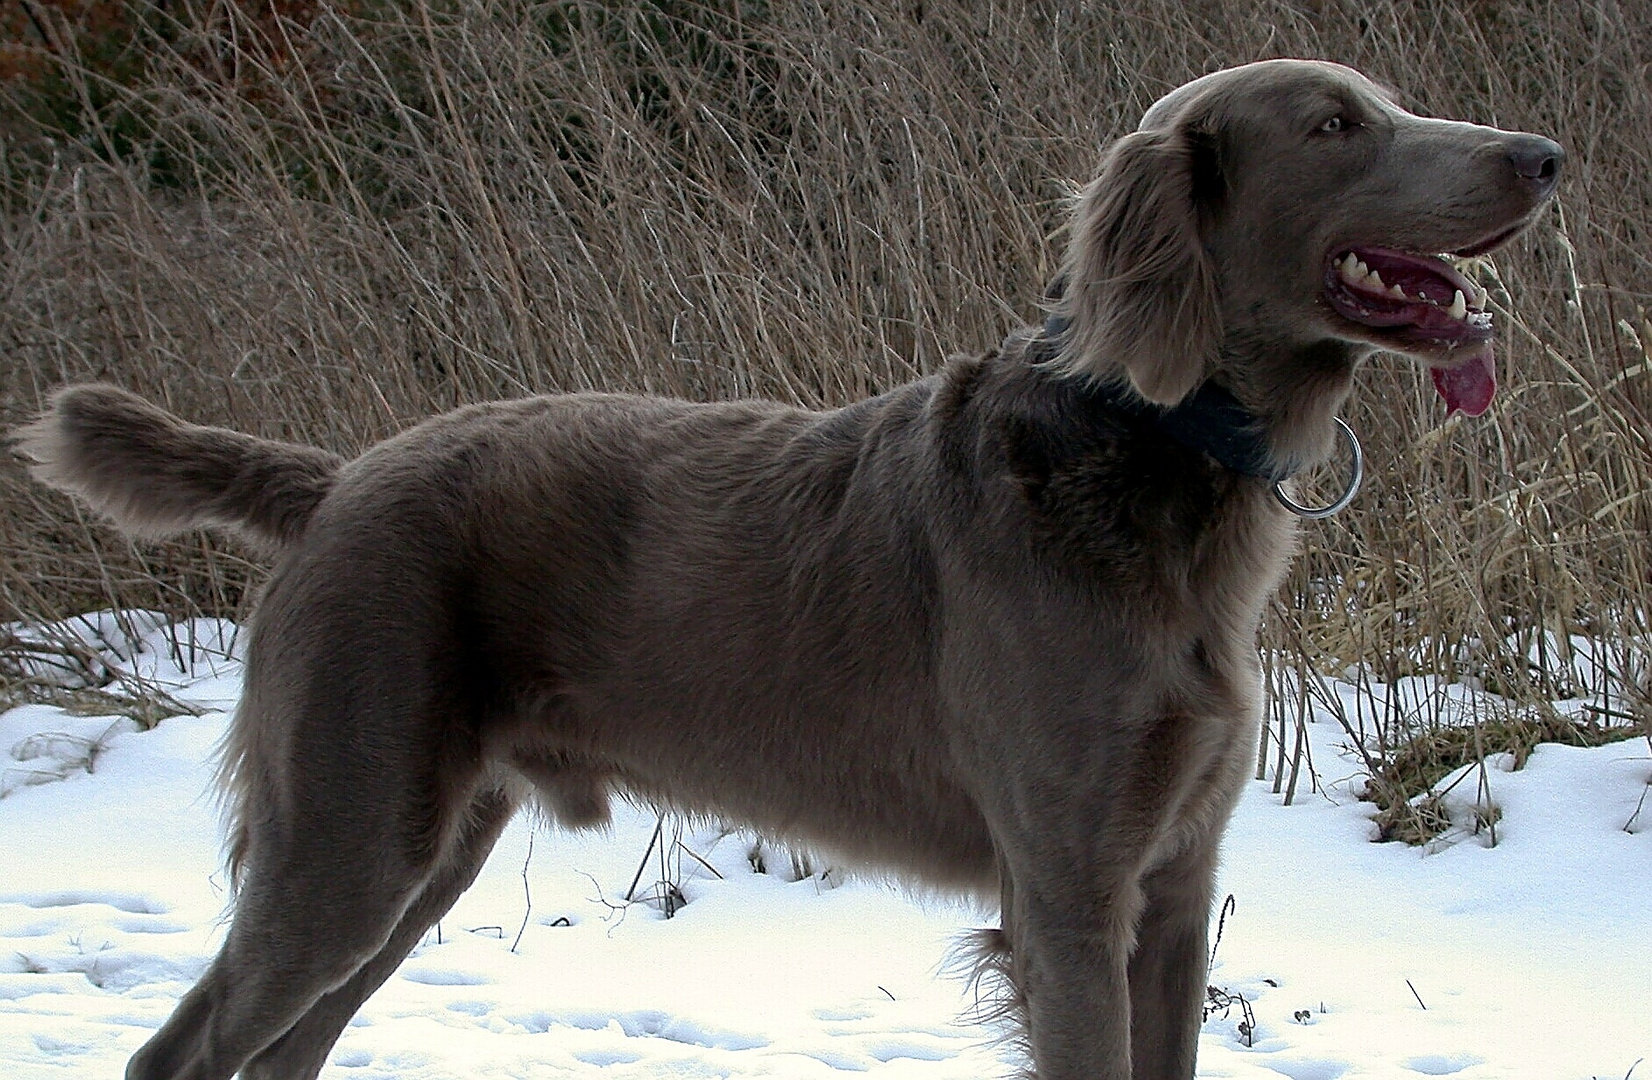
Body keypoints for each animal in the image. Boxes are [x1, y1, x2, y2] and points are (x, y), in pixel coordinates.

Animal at [19, 63, 1552, 1080]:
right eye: (1335, 125)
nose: (1541, 154)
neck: (1162, 455)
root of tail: (337, 479)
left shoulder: (1175, 883)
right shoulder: (1068, 892)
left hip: (427, 848)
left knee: (281, 1049)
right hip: (347, 828)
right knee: (184, 1050)